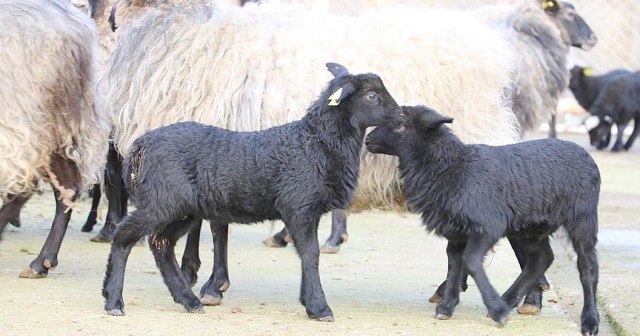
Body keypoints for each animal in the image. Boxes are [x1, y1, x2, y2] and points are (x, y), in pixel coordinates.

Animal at [102, 62, 402, 320]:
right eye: (372, 96)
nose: (401, 116)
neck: (317, 142)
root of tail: (140, 145)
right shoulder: (299, 207)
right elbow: (311, 255)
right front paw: (319, 307)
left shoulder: (309, 211)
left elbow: (308, 254)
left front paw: (309, 301)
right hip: (162, 201)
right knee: (125, 236)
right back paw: (114, 301)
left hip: (182, 209)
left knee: (161, 244)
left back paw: (190, 301)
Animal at [364, 104, 600, 334]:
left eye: (400, 124)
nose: (367, 139)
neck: (453, 168)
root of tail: (583, 152)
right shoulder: (456, 232)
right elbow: (454, 265)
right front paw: (447, 306)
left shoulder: (487, 227)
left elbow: (470, 261)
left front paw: (496, 310)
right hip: (529, 227)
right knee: (541, 259)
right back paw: (509, 300)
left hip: (583, 217)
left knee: (587, 266)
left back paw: (589, 320)